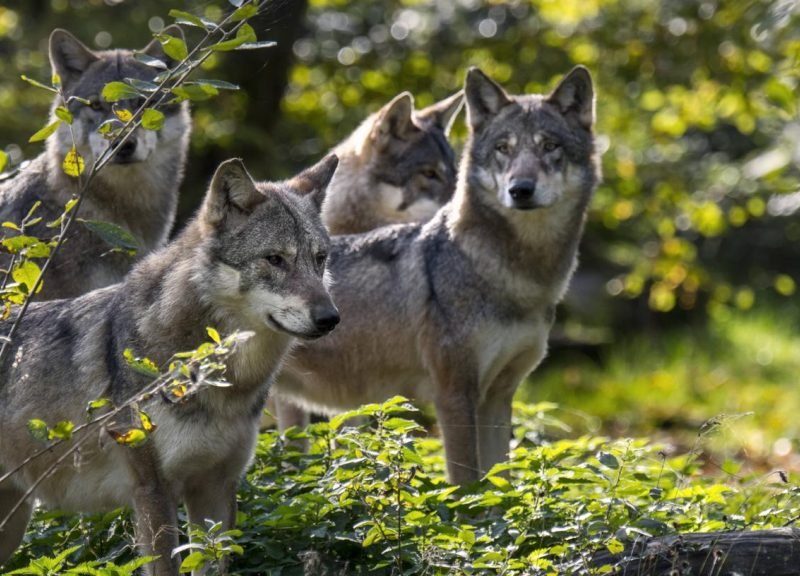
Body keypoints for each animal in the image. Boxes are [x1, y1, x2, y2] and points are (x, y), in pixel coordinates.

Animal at [0, 153, 340, 572]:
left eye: (319, 259)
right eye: (275, 259)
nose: (330, 318)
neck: (225, 384)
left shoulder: (216, 487)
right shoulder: (152, 490)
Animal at [272, 66, 596, 486]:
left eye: (550, 146)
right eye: (503, 149)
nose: (521, 189)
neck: (520, 279)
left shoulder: (498, 396)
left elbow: (500, 480)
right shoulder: (453, 393)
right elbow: (467, 483)